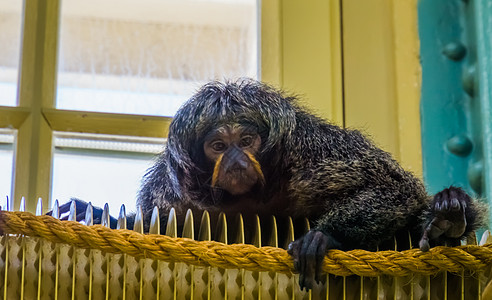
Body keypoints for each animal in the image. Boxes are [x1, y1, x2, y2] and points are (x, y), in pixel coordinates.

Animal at [50, 78, 488, 290]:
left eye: (246, 141)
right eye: (218, 146)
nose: (236, 159)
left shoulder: (313, 153)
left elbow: (394, 188)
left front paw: (322, 237)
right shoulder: (169, 194)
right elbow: (149, 226)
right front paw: (94, 213)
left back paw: (448, 216)